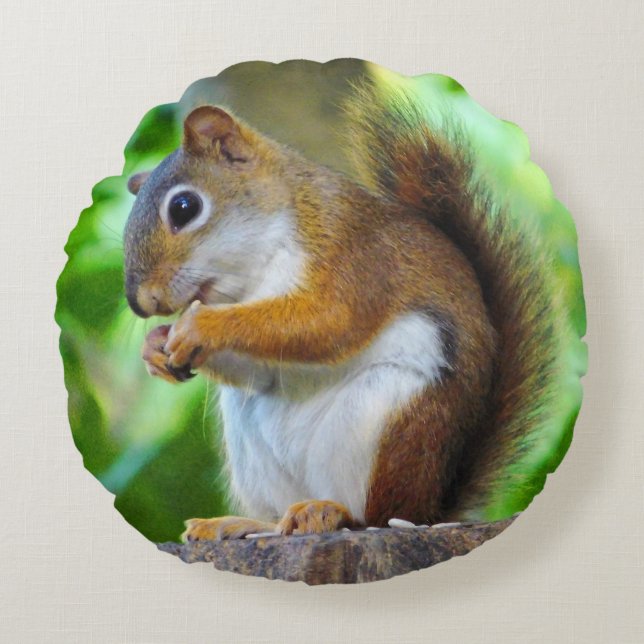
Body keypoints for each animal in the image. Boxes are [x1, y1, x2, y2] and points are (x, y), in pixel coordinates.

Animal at [123, 87, 557, 541]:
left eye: (184, 207)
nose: (142, 302)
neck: (255, 270)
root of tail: (429, 509)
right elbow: (262, 367)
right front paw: (155, 347)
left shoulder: (352, 251)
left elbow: (329, 322)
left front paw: (199, 325)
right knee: (277, 517)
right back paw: (243, 522)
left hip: (382, 412)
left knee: (376, 515)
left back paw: (332, 512)